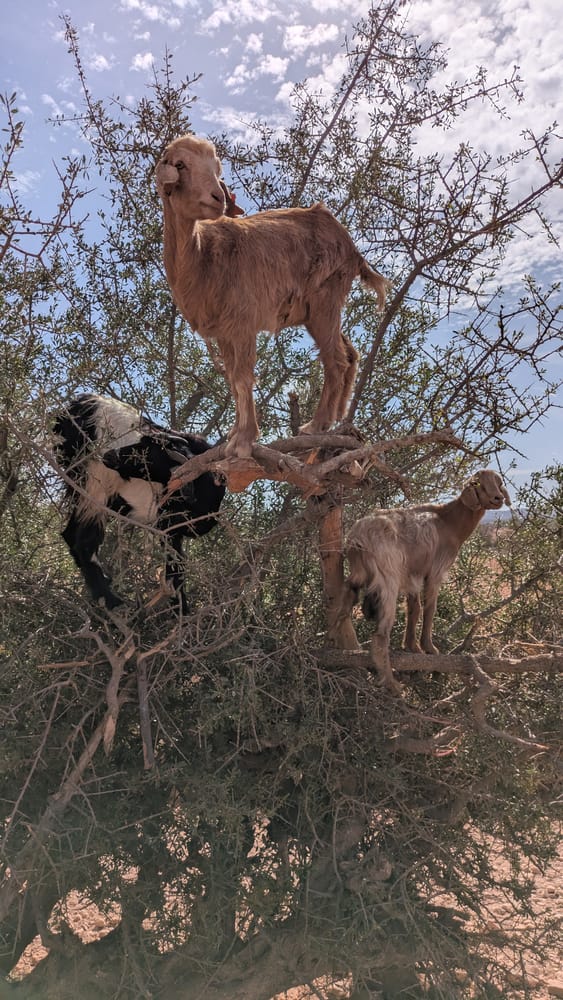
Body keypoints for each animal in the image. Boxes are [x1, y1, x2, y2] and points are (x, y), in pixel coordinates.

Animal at [53, 394, 225, 613]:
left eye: (148, 453)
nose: (110, 454)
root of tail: (78, 404)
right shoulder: (166, 524)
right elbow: (175, 571)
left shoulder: (172, 530)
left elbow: (176, 570)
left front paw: (181, 613)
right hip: (94, 482)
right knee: (84, 541)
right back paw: (111, 601)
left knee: (71, 535)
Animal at [155, 134, 390, 458]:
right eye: (180, 164)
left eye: (216, 169)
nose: (218, 199)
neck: (205, 256)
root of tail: (351, 248)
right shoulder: (225, 332)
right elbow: (232, 379)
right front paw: (233, 434)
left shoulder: (243, 323)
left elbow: (243, 379)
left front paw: (243, 441)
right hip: (320, 311)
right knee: (350, 352)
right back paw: (338, 418)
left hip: (325, 299)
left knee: (336, 360)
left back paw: (316, 425)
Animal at [338, 470, 511, 694]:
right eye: (479, 484)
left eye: (498, 482)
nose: (498, 498)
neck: (449, 522)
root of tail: (357, 537)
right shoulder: (435, 572)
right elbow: (430, 608)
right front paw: (430, 649)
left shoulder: (413, 575)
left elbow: (415, 608)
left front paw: (413, 647)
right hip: (388, 578)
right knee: (380, 635)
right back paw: (391, 684)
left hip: (358, 574)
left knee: (344, 600)